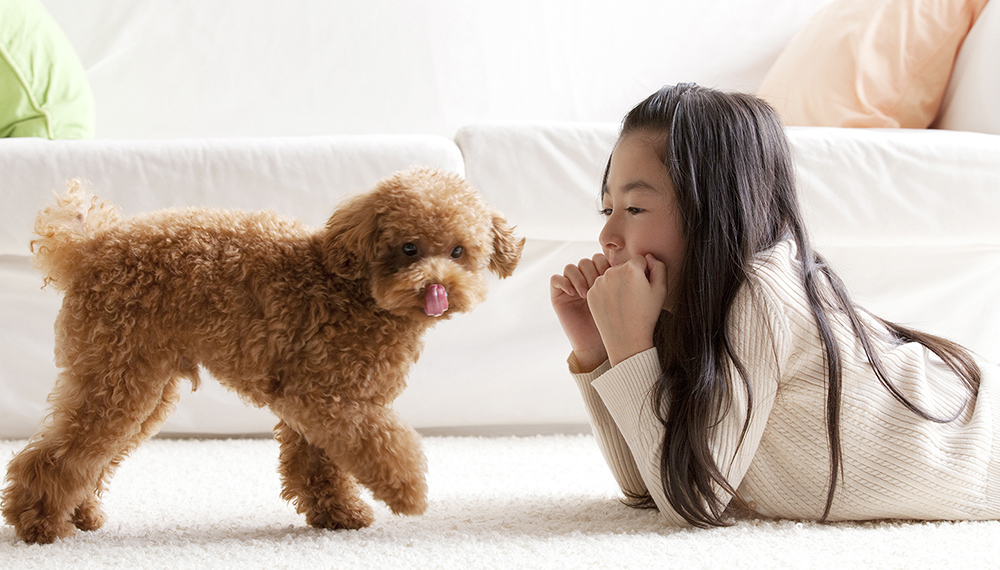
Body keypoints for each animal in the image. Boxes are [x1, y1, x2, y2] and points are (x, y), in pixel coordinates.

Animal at [0, 168, 528, 540]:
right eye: (409, 247)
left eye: (458, 252)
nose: (437, 288)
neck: (354, 290)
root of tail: (89, 248)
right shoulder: (328, 399)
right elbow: (383, 445)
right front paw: (408, 494)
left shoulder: (313, 406)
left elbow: (317, 464)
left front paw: (338, 514)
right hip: (116, 374)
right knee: (57, 455)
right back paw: (40, 525)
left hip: (139, 382)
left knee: (89, 457)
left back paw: (80, 514)